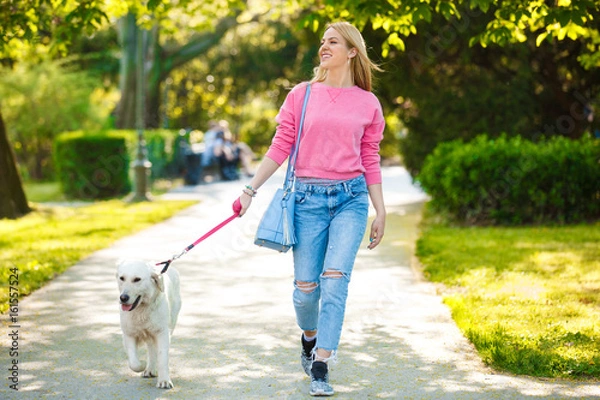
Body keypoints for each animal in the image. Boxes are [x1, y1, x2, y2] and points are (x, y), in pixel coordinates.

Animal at [116, 260, 182, 388]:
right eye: (122, 278)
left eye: (137, 279)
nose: (123, 298)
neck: (141, 309)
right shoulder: (129, 333)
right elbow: (133, 362)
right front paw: (142, 365)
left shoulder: (162, 333)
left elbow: (162, 357)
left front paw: (164, 381)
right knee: (151, 350)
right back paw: (149, 369)